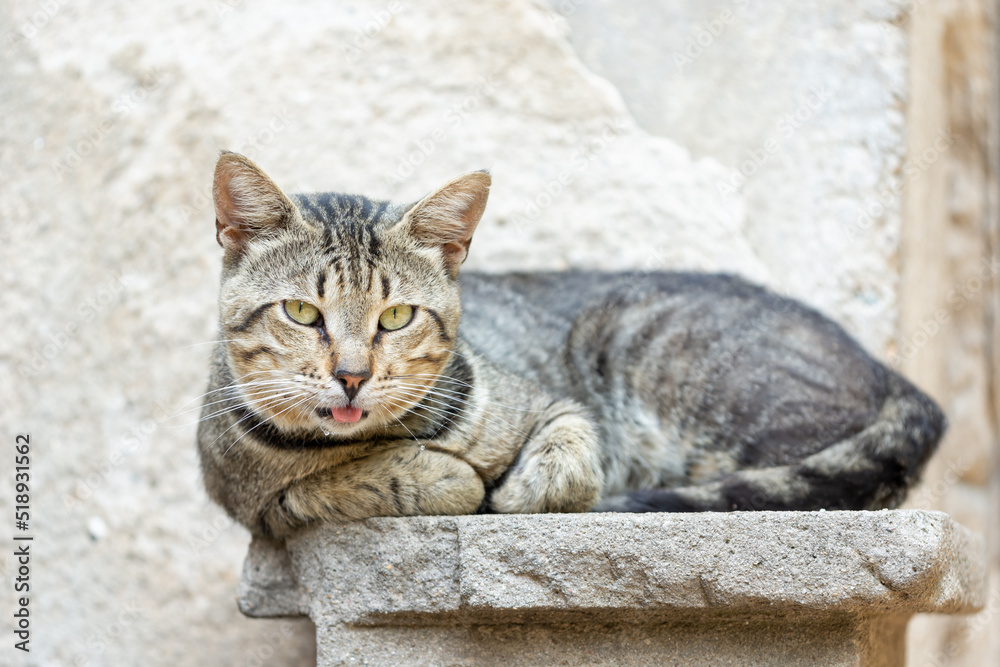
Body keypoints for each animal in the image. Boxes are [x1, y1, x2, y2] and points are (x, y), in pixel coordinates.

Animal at [195, 151, 944, 536]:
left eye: (397, 316)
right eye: (301, 311)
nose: (352, 374)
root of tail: (891, 374)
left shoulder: (556, 404)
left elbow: (570, 450)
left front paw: (519, 487)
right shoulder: (243, 496)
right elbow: (321, 488)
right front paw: (435, 473)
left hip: (654, 347)